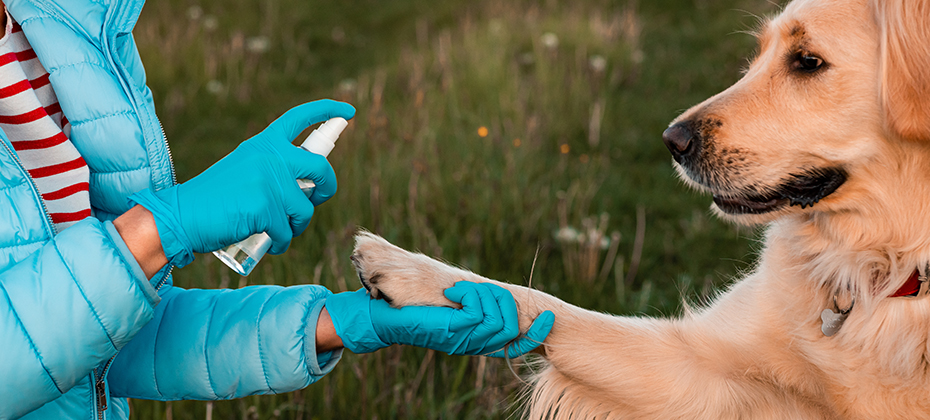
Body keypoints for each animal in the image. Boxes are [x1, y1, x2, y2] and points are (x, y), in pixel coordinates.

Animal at [346, 0, 928, 418]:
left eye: (808, 61)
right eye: (757, 55)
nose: (673, 141)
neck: (886, 269)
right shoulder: (696, 370)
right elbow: (553, 307)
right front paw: (407, 270)